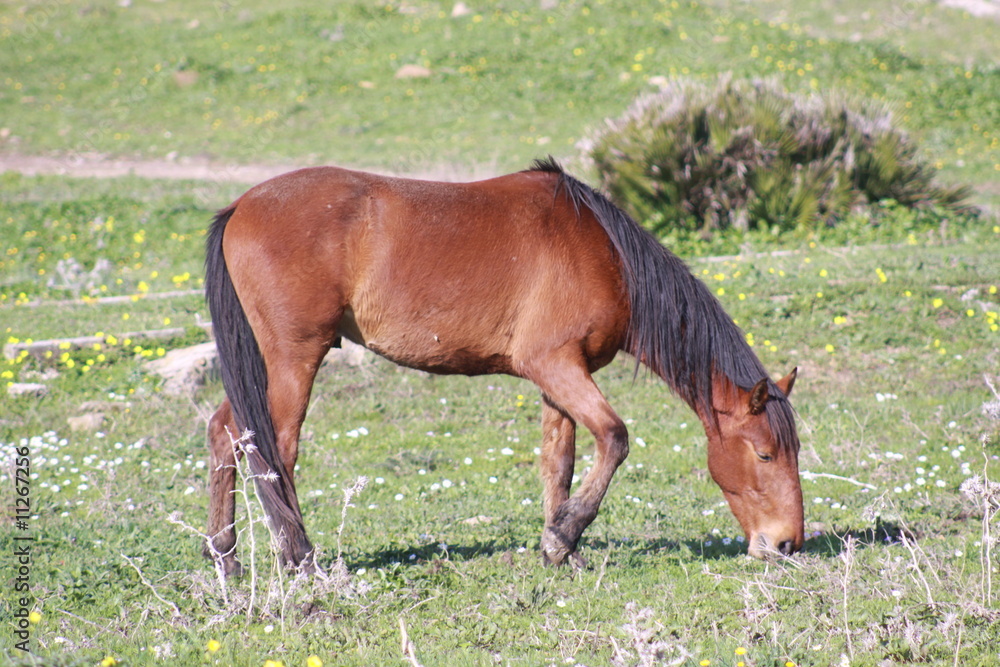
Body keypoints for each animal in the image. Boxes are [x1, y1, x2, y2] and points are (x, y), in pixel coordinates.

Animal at [203, 157, 803, 576]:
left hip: (265, 362)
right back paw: (299, 556)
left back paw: (226, 557)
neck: (603, 252)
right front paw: (563, 536)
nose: (788, 543)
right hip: (294, 358)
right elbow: (615, 438)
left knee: (225, 430)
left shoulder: (558, 378)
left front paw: (562, 549)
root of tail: (240, 208)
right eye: (765, 453)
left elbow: (560, 463)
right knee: (275, 449)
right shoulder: (556, 365)